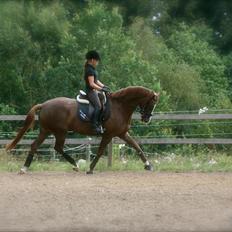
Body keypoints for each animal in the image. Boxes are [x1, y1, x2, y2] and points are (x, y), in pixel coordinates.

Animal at [6, 86, 160, 173]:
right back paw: (74, 164)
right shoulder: (108, 134)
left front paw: (148, 165)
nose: (147, 119)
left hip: (46, 131)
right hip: (60, 132)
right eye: (152, 103)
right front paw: (90, 169)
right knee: (57, 147)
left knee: (35, 145)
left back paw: (24, 168)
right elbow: (100, 151)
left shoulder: (122, 133)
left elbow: (136, 146)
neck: (120, 106)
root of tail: (44, 105)